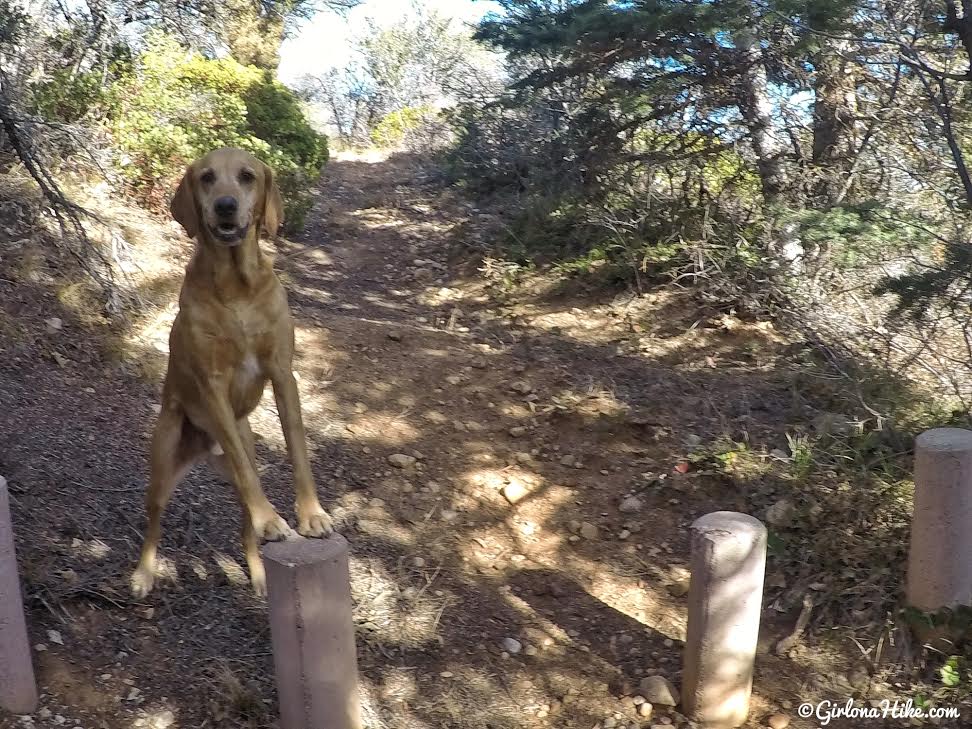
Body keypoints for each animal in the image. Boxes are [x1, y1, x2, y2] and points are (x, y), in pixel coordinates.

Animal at [130, 148, 334, 596]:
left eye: (247, 176)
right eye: (206, 178)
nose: (225, 205)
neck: (236, 285)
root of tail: (205, 449)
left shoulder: (283, 374)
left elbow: (298, 448)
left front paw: (311, 514)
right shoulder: (212, 385)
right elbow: (245, 471)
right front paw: (273, 516)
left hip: (244, 444)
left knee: (245, 527)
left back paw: (259, 572)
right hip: (163, 466)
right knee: (154, 523)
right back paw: (143, 574)